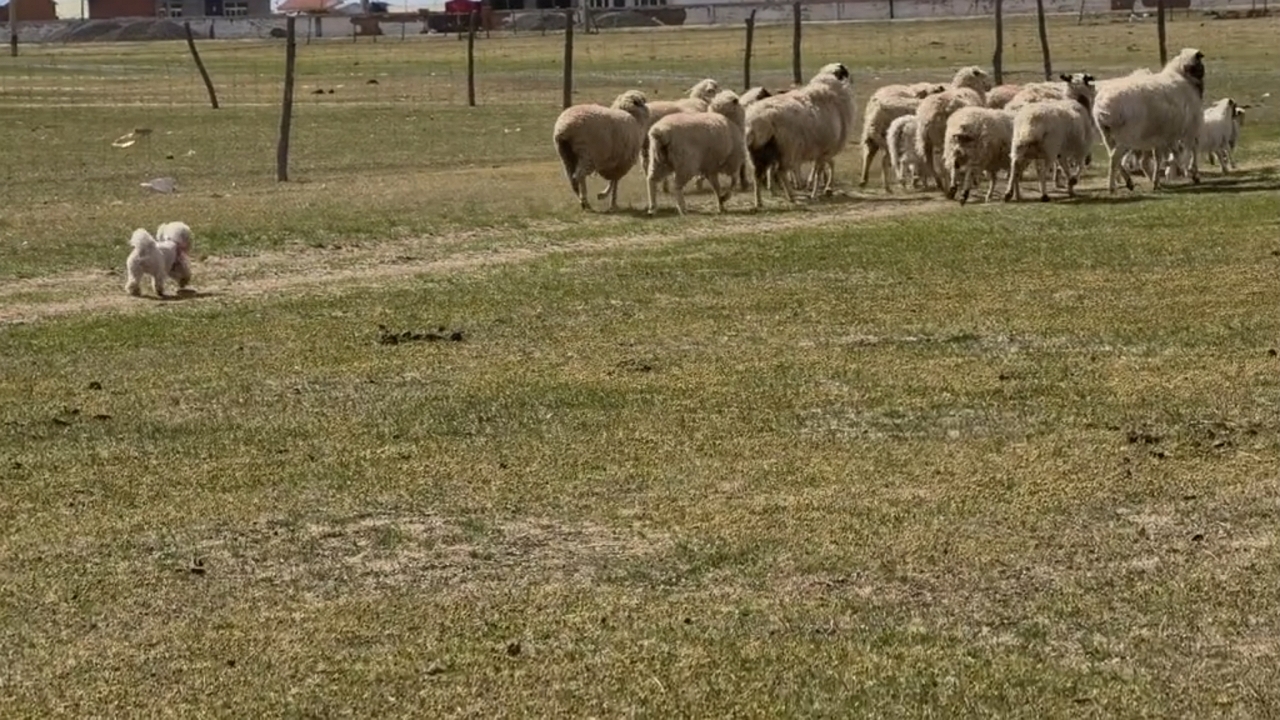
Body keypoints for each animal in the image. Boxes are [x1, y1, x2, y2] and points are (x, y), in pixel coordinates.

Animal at [744, 62, 855, 208]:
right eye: (845, 71)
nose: (852, 80)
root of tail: (757, 121)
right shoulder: (825, 149)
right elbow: (820, 171)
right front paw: (815, 193)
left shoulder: (823, 151)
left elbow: (828, 165)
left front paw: (825, 188)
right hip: (786, 149)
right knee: (780, 171)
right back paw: (791, 196)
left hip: (758, 152)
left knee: (757, 175)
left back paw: (759, 201)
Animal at [1092, 48, 1206, 193]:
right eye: (1200, 63)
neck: (1184, 76)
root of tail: (1104, 106)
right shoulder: (1190, 128)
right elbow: (1191, 151)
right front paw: (1192, 172)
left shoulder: (1164, 135)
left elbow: (1166, 156)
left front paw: (1158, 180)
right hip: (1126, 136)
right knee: (1114, 158)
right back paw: (1112, 187)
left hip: (1107, 135)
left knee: (1114, 156)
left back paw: (1129, 181)